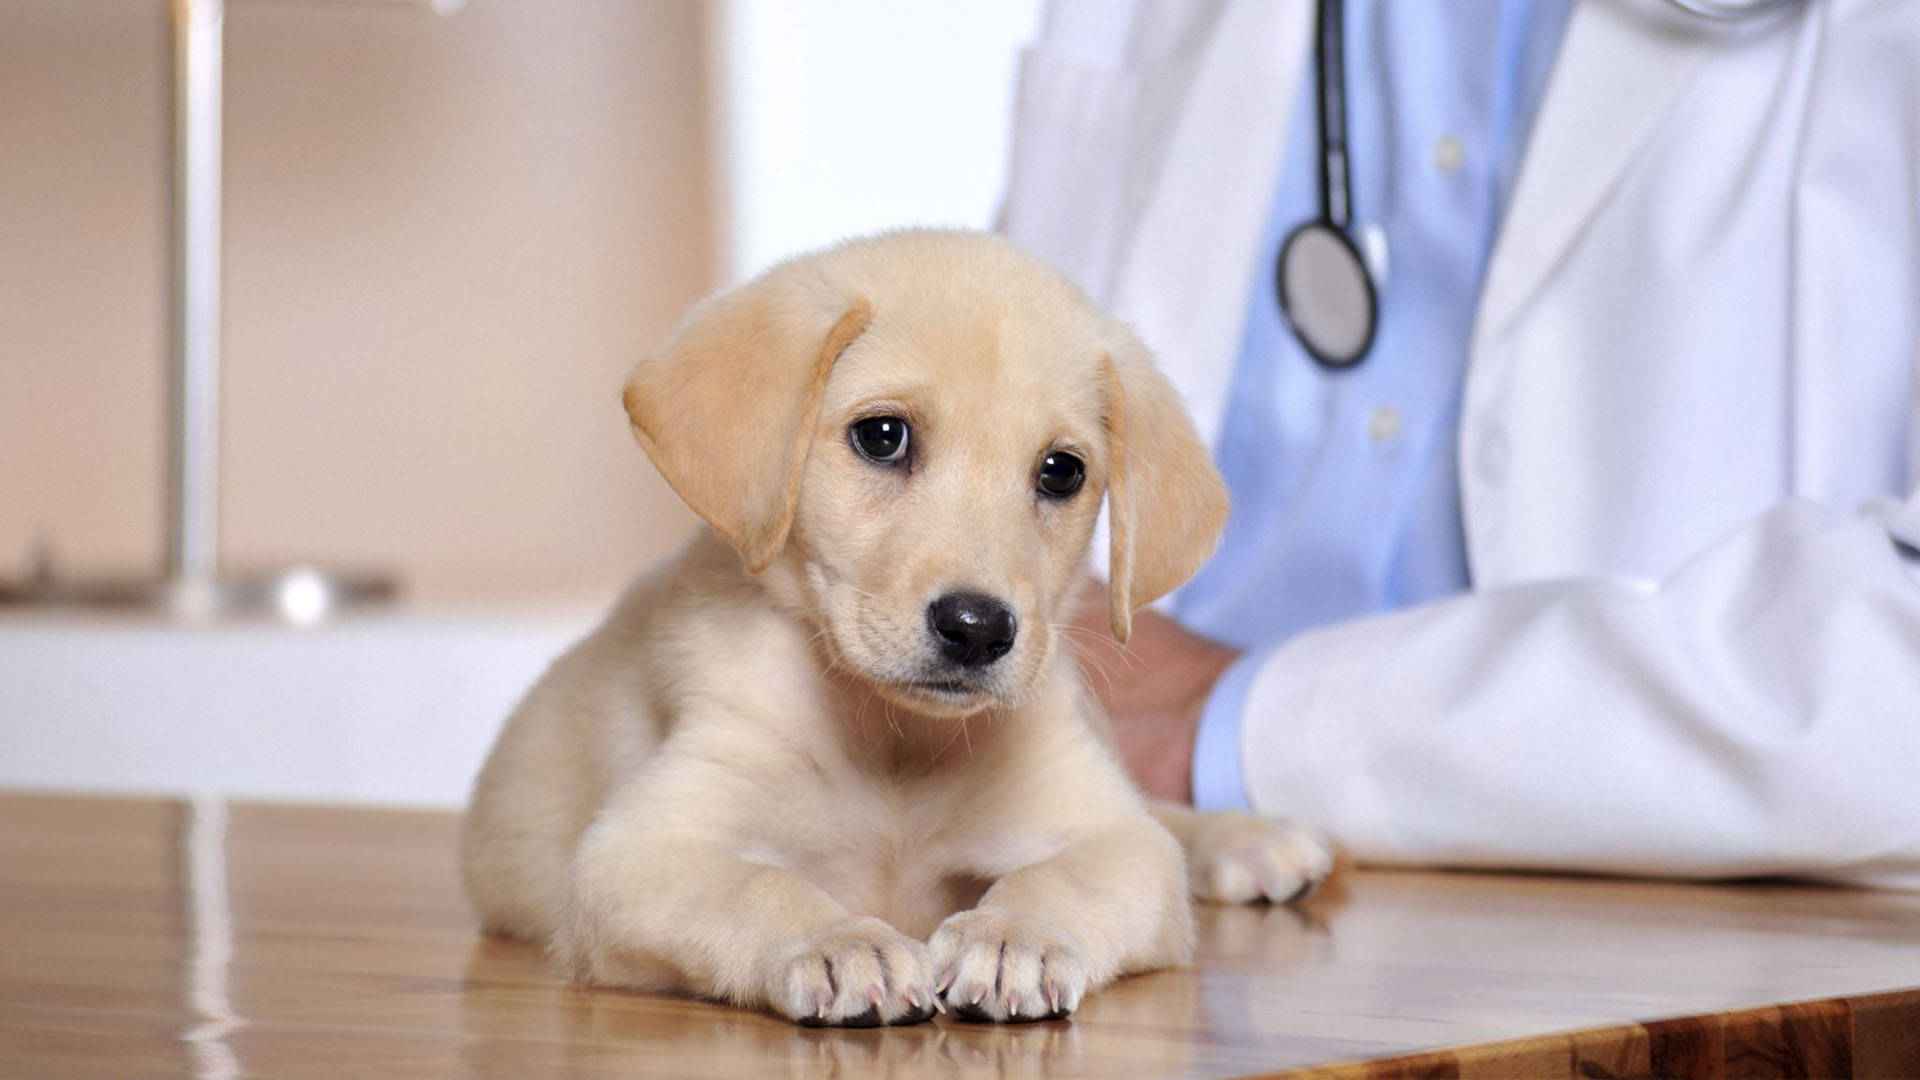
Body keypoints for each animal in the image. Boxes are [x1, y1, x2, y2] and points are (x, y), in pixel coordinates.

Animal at [460, 231, 1336, 1022]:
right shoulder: (638, 853)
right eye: (883, 436)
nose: (977, 628)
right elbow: (758, 884)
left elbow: (1062, 873)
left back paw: (1243, 836)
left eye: (1061, 471)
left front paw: (1014, 935)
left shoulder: (1115, 842)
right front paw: (841, 943)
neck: (896, 749)